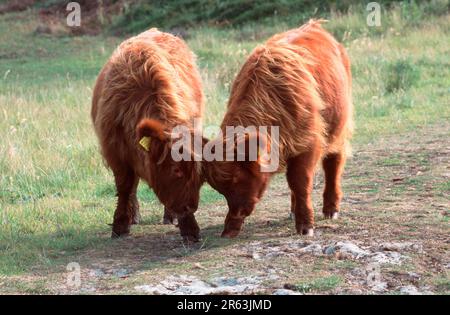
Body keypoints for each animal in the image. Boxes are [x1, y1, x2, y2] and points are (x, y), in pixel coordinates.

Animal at [92, 29, 205, 242]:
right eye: (175, 170)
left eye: (197, 172)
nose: (191, 206)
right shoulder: (115, 151)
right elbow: (125, 186)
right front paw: (120, 225)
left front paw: (189, 228)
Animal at [202, 20, 354, 237]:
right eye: (220, 188)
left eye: (236, 178)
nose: (239, 210)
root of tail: (315, 25)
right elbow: (294, 182)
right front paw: (230, 227)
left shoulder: (309, 142)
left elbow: (300, 181)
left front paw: (306, 226)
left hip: (338, 127)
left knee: (334, 162)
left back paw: (331, 209)